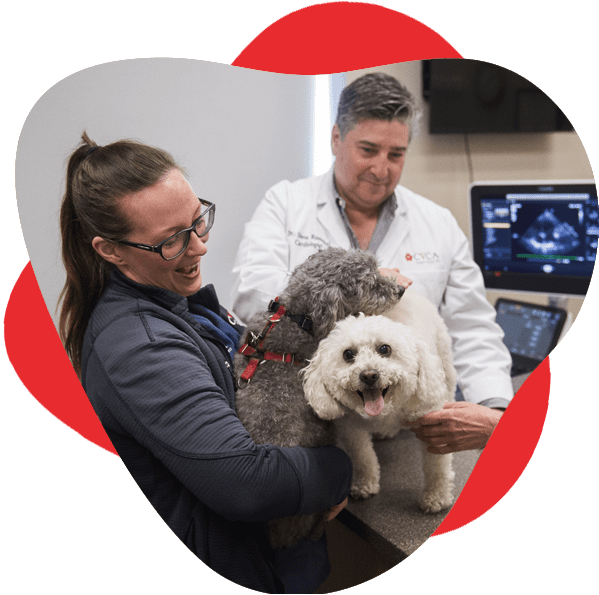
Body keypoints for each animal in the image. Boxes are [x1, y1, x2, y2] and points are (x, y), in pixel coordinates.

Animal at [302, 292, 458, 516]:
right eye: (348, 354)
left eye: (385, 349)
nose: (369, 375)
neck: (384, 412)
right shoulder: (350, 428)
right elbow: (362, 457)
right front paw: (365, 484)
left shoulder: (431, 427)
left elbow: (437, 466)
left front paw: (437, 497)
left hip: (444, 358)